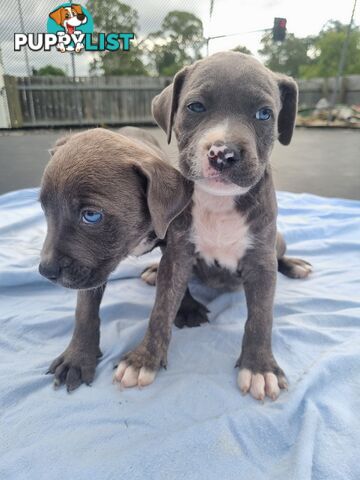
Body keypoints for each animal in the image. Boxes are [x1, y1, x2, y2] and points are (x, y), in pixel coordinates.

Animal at [39, 126, 194, 390]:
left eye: (91, 215)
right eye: (44, 209)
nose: (45, 271)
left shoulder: (177, 246)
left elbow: (165, 305)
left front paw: (143, 360)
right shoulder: (91, 270)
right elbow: (85, 312)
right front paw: (77, 358)